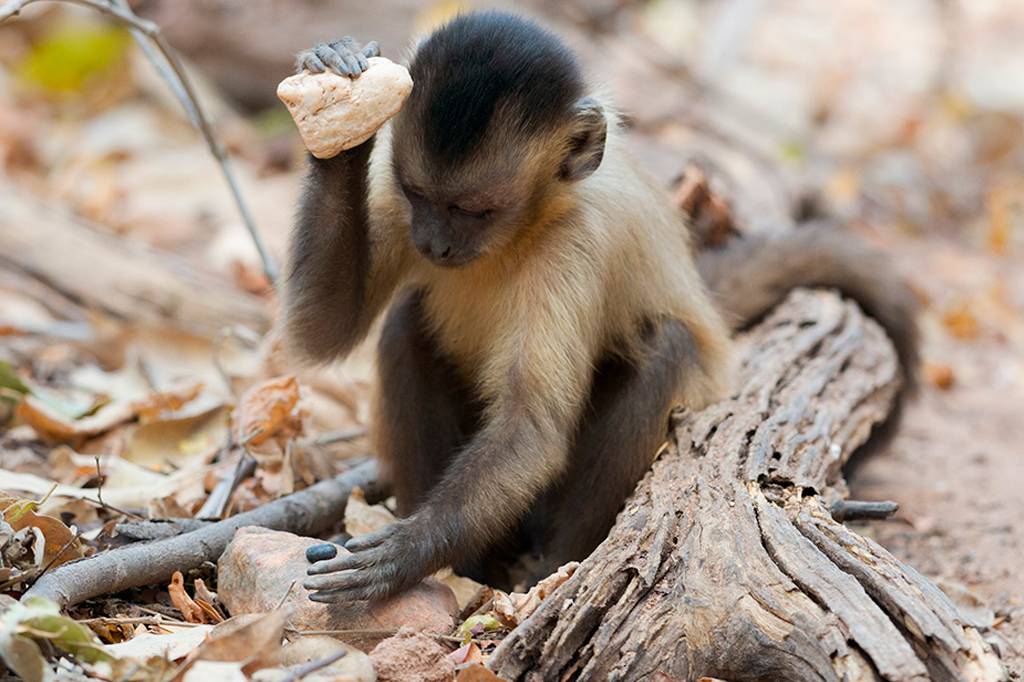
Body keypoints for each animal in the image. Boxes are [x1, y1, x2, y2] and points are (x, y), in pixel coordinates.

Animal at [283, 12, 918, 602]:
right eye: (420, 197)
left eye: (475, 211)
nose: (433, 244)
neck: (527, 226)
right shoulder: (397, 204)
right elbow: (323, 331)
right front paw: (339, 107)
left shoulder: (575, 244)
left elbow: (531, 430)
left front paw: (405, 552)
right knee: (406, 324)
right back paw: (471, 569)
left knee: (666, 344)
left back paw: (549, 568)